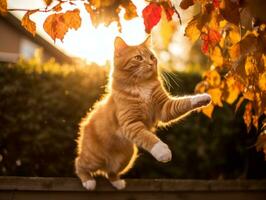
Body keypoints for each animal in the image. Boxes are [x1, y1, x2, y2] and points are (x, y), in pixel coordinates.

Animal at [75, 36, 212, 191]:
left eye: (152, 57)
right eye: (138, 58)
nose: (151, 63)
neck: (141, 86)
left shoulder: (165, 108)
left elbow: (185, 102)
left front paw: (202, 98)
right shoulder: (131, 123)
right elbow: (149, 138)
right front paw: (163, 151)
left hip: (126, 158)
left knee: (110, 173)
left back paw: (117, 182)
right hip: (94, 158)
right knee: (79, 163)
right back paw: (88, 181)